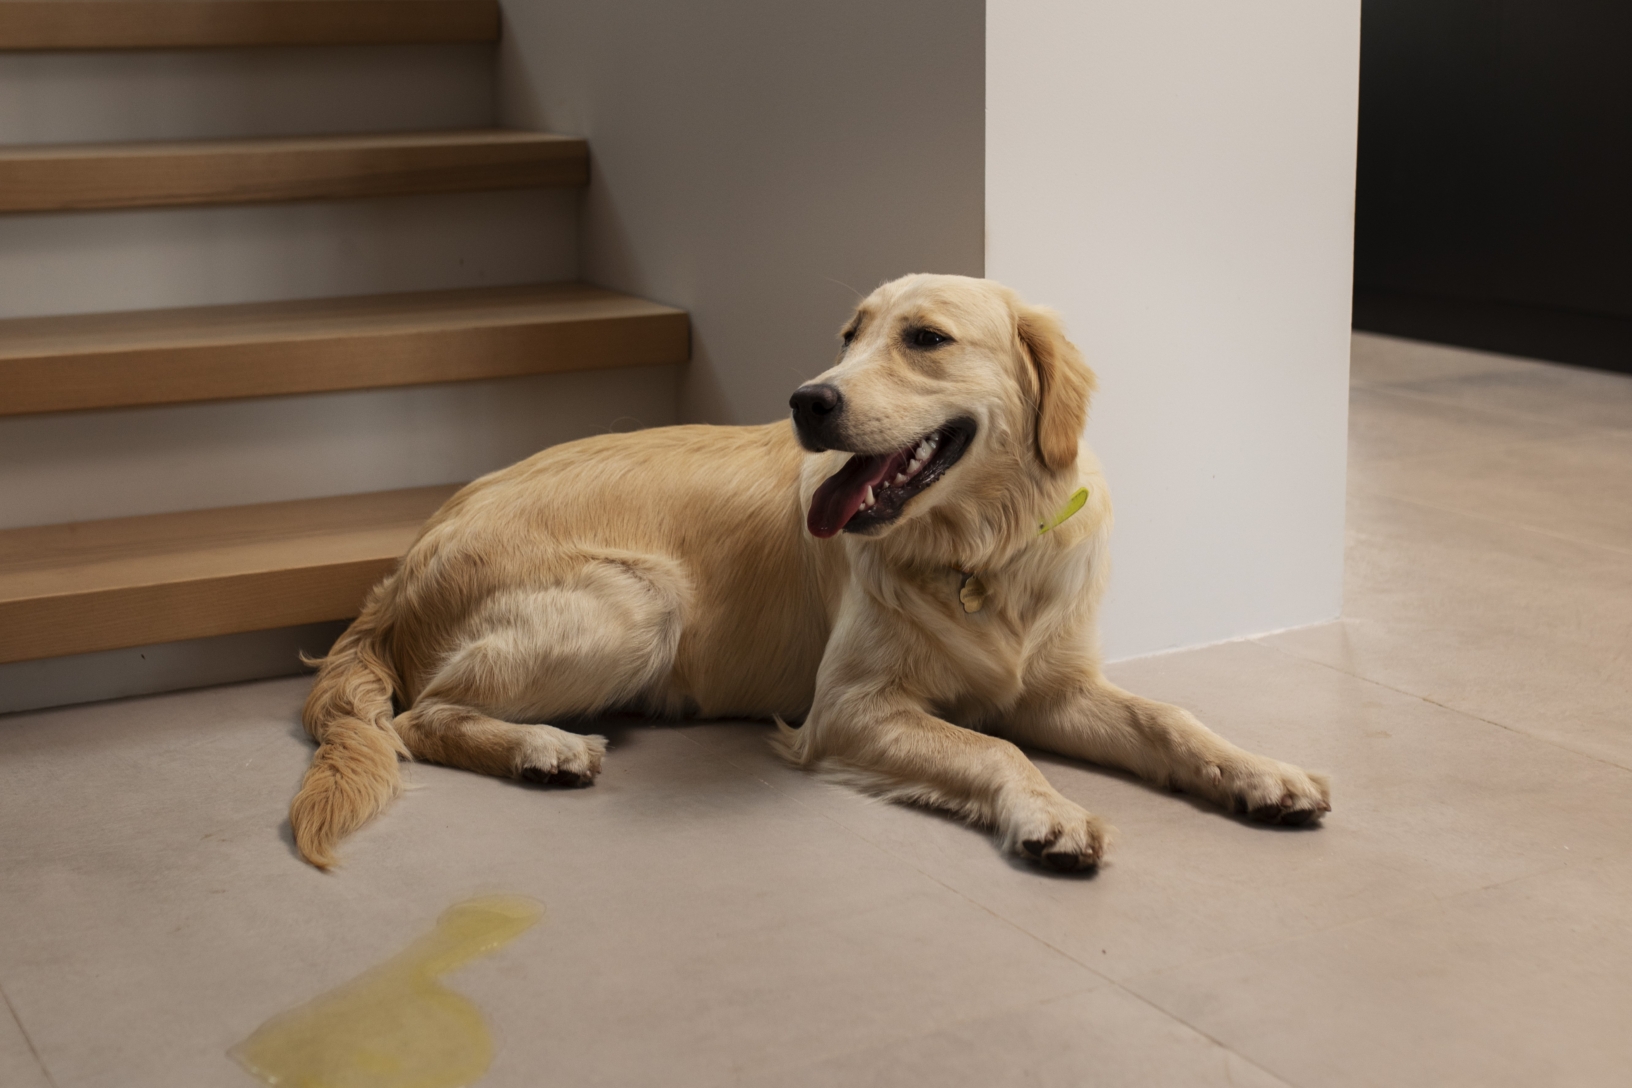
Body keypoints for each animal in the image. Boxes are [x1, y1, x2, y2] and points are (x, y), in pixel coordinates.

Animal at [290, 277, 1325, 874]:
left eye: (925, 339)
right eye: (848, 335)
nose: (807, 400)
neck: (980, 552)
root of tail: (400, 569)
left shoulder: (1052, 686)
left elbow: (1169, 719)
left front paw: (1262, 773)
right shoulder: (851, 709)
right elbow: (995, 749)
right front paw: (1050, 811)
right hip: (641, 598)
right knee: (421, 717)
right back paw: (543, 748)